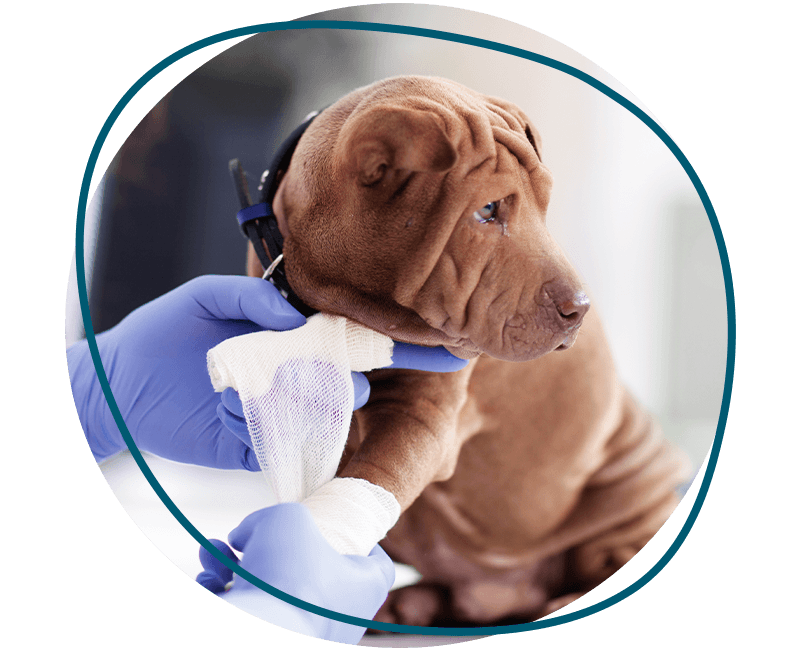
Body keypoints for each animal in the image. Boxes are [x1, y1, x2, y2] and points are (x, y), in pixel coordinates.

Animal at [245, 74, 692, 624]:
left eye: (545, 204)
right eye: (488, 210)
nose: (580, 309)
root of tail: (507, 594)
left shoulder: (423, 413)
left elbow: (377, 473)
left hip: (633, 497)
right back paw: (407, 605)